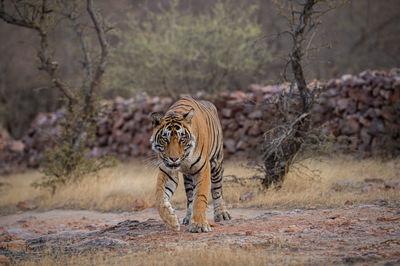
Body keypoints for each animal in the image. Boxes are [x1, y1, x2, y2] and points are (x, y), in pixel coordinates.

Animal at [150, 96, 231, 233]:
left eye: (182, 139)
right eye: (165, 139)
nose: (174, 158)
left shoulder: (203, 169)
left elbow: (200, 196)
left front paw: (199, 225)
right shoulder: (167, 170)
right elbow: (160, 196)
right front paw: (171, 220)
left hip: (217, 164)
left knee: (217, 190)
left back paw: (221, 214)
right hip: (188, 177)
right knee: (189, 197)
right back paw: (188, 217)